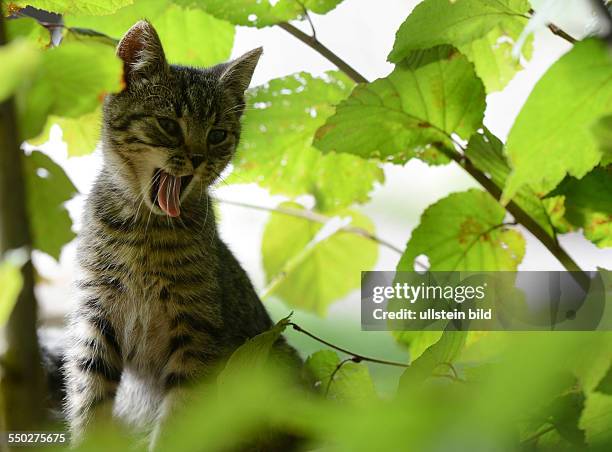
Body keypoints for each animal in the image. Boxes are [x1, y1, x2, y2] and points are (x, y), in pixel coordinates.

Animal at [62, 20, 302, 448]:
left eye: (218, 134)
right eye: (169, 125)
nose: (198, 158)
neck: (146, 231)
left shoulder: (196, 334)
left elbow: (179, 422)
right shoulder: (96, 316)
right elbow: (89, 400)